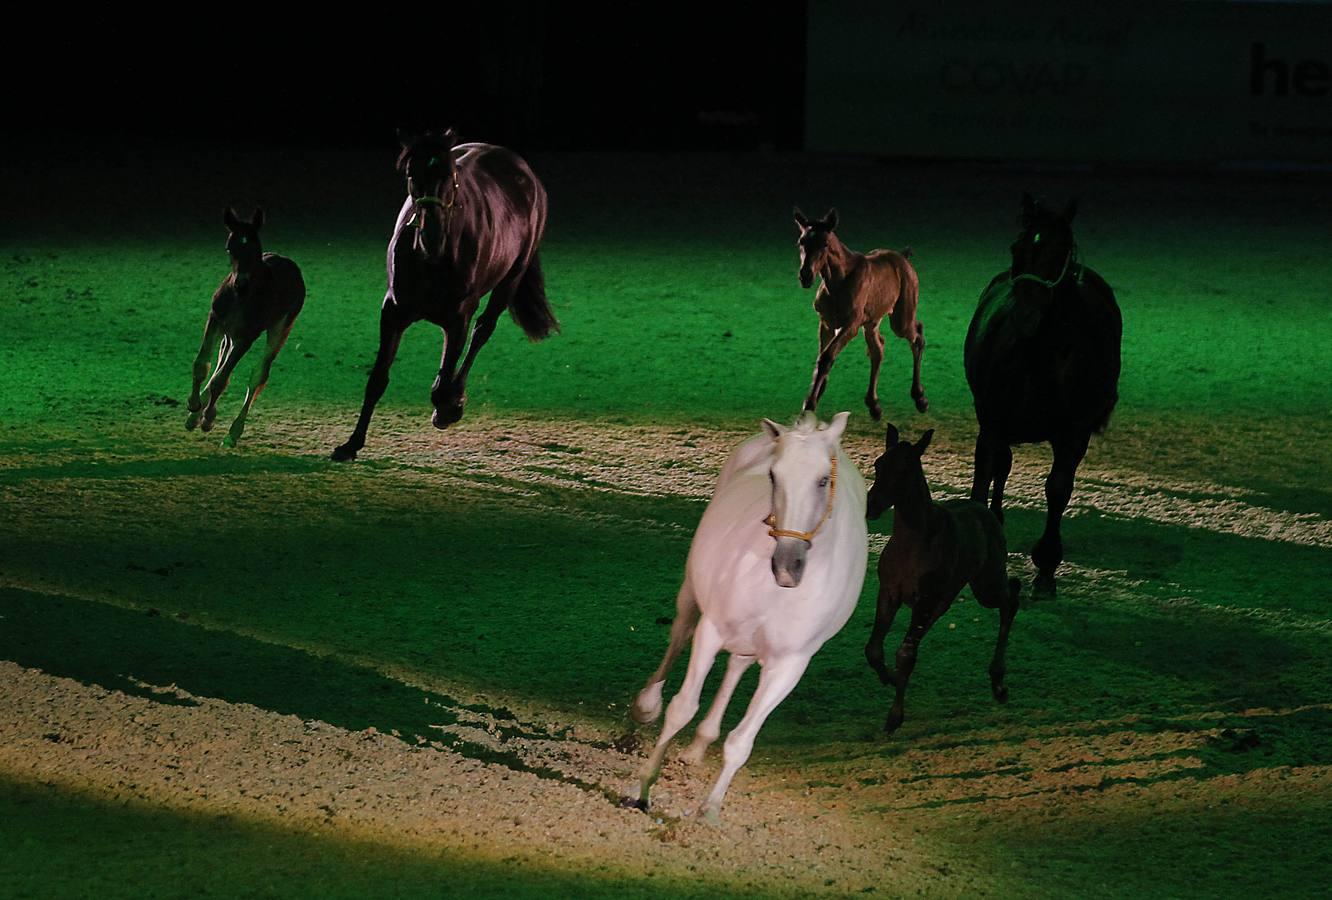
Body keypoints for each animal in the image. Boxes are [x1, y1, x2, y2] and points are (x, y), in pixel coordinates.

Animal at [187, 207, 305, 447]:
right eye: (229, 248)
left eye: (256, 247)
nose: (241, 284)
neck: (239, 297)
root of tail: (290, 264)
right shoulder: (215, 320)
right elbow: (202, 365)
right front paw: (194, 407)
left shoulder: (247, 337)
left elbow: (222, 380)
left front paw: (208, 419)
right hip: (228, 334)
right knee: (221, 360)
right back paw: (196, 415)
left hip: (280, 329)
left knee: (259, 375)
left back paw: (233, 432)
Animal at [338, 129, 562, 460]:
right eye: (411, 174)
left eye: (451, 175)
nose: (431, 235)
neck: (432, 260)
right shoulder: (393, 311)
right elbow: (378, 378)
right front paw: (351, 444)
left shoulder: (458, 319)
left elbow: (443, 383)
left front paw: (448, 408)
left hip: (510, 279)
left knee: (483, 331)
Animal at [628, 410, 868, 820]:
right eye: (773, 475)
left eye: (823, 479)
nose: (787, 566)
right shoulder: (711, 630)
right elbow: (681, 708)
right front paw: (645, 786)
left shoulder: (790, 664)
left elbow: (742, 741)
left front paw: (710, 808)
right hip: (691, 594)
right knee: (680, 633)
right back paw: (647, 705)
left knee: (737, 666)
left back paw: (698, 746)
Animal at [863, 426, 1017, 734]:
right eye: (878, 464)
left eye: (905, 469)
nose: (871, 505)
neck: (913, 542)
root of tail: (984, 509)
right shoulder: (889, 592)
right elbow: (874, 649)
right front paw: (890, 679)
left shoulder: (924, 600)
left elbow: (906, 654)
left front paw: (894, 717)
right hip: (955, 594)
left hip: (986, 584)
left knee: (1010, 601)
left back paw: (998, 683)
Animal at [969, 193, 1124, 593]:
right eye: (1017, 246)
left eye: (1063, 249)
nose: (1025, 315)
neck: (1039, 358)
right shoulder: (992, 421)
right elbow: (986, 471)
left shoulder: (1074, 433)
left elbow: (1058, 488)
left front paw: (1046, 566)